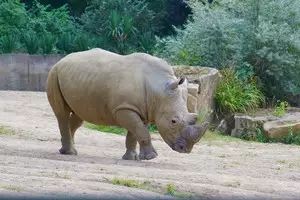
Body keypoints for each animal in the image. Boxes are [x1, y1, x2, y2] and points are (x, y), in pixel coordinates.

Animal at [46, 48, 209, 161]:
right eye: (173, 121)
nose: (185, 149)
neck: (158, 89)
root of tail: (62, 60)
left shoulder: (141, 110)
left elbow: (135, 133)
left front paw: (132, 158)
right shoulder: (125, 108)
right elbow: (140, 130)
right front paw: (150, 157)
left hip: (78, 78)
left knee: (79, 115)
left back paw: (68, 150)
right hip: (54, 74)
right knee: (62, 114)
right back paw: (69, 153)